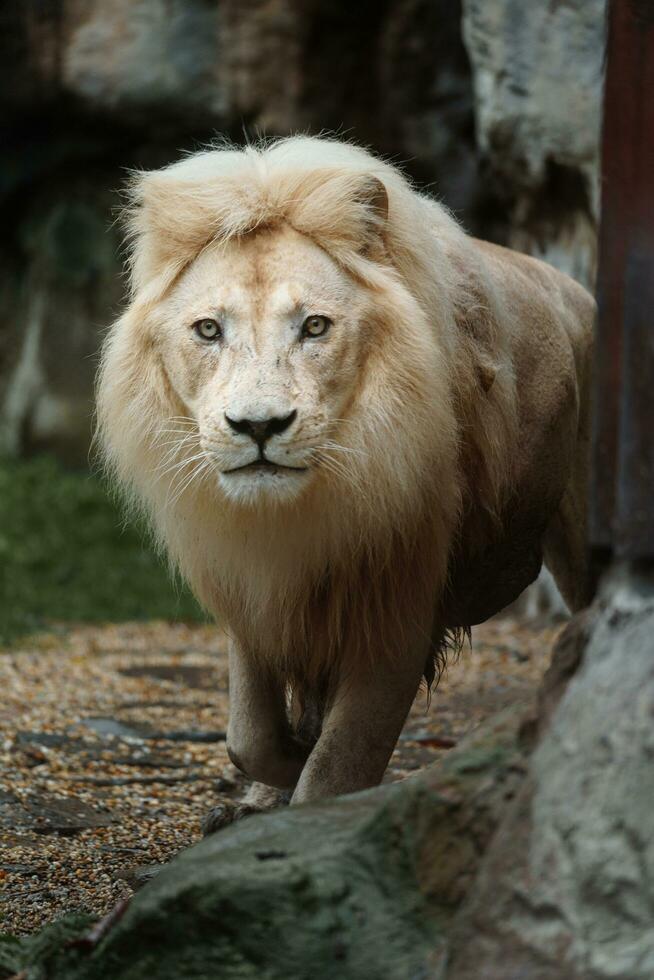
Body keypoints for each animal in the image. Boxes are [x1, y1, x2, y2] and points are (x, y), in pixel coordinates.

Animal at [96, 136, 596, 828]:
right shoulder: (249, 584)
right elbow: (248, 733)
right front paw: (280, 766)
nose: (259, 426)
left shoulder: (399, 605)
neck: (304, 512)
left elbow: (340, 762)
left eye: (314, 326)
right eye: (208, 329)